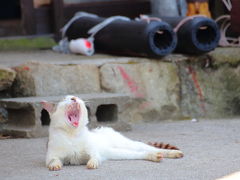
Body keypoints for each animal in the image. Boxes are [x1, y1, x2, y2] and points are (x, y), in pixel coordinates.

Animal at [41, 95, 184, 171]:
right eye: (64, 99)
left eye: (76, 97)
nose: (73, 98)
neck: (73, 134)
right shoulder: (51, 154)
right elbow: (52, 160)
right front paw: (55, 165)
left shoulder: (93, 152)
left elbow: (94, 157)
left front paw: (92, 163)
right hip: (118, 153)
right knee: (142, 153)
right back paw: (155, 156)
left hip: (127, 145)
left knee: (149, 148)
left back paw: (173, 153)